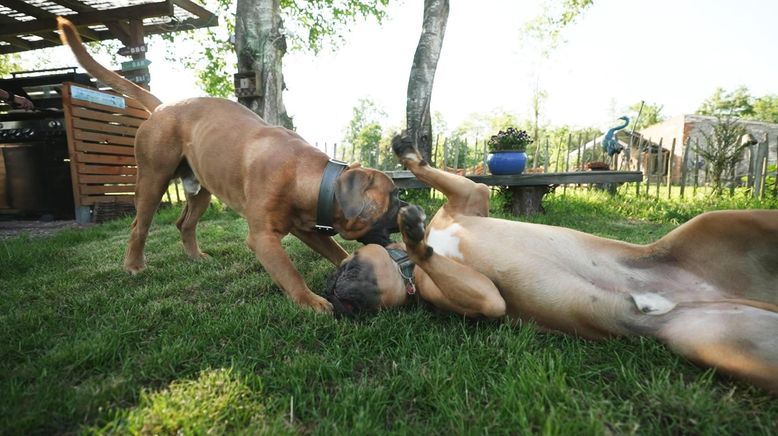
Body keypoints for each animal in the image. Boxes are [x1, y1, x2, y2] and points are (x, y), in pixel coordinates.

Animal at [56, 16, 400, 310]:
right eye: (395, 197)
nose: (410, 210)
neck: (311, 179)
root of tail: (163, 106)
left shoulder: (309, 230)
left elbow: (337, 252)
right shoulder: (263, 239)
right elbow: (289, 272)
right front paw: (310, 301)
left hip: (201, 190)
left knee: (185, 224)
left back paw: (195, 257)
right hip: (153, 181)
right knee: (138, 227)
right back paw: (134, 265)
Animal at [326, 136, 776, 392]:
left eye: (348, 266)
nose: (332, 289)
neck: (407, 270)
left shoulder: (469, 198)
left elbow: (435, 174)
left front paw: (407, 153)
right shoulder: (483, 299)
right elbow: (475, 288)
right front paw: (414, 236)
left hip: (725, 222)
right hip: (715, 339)